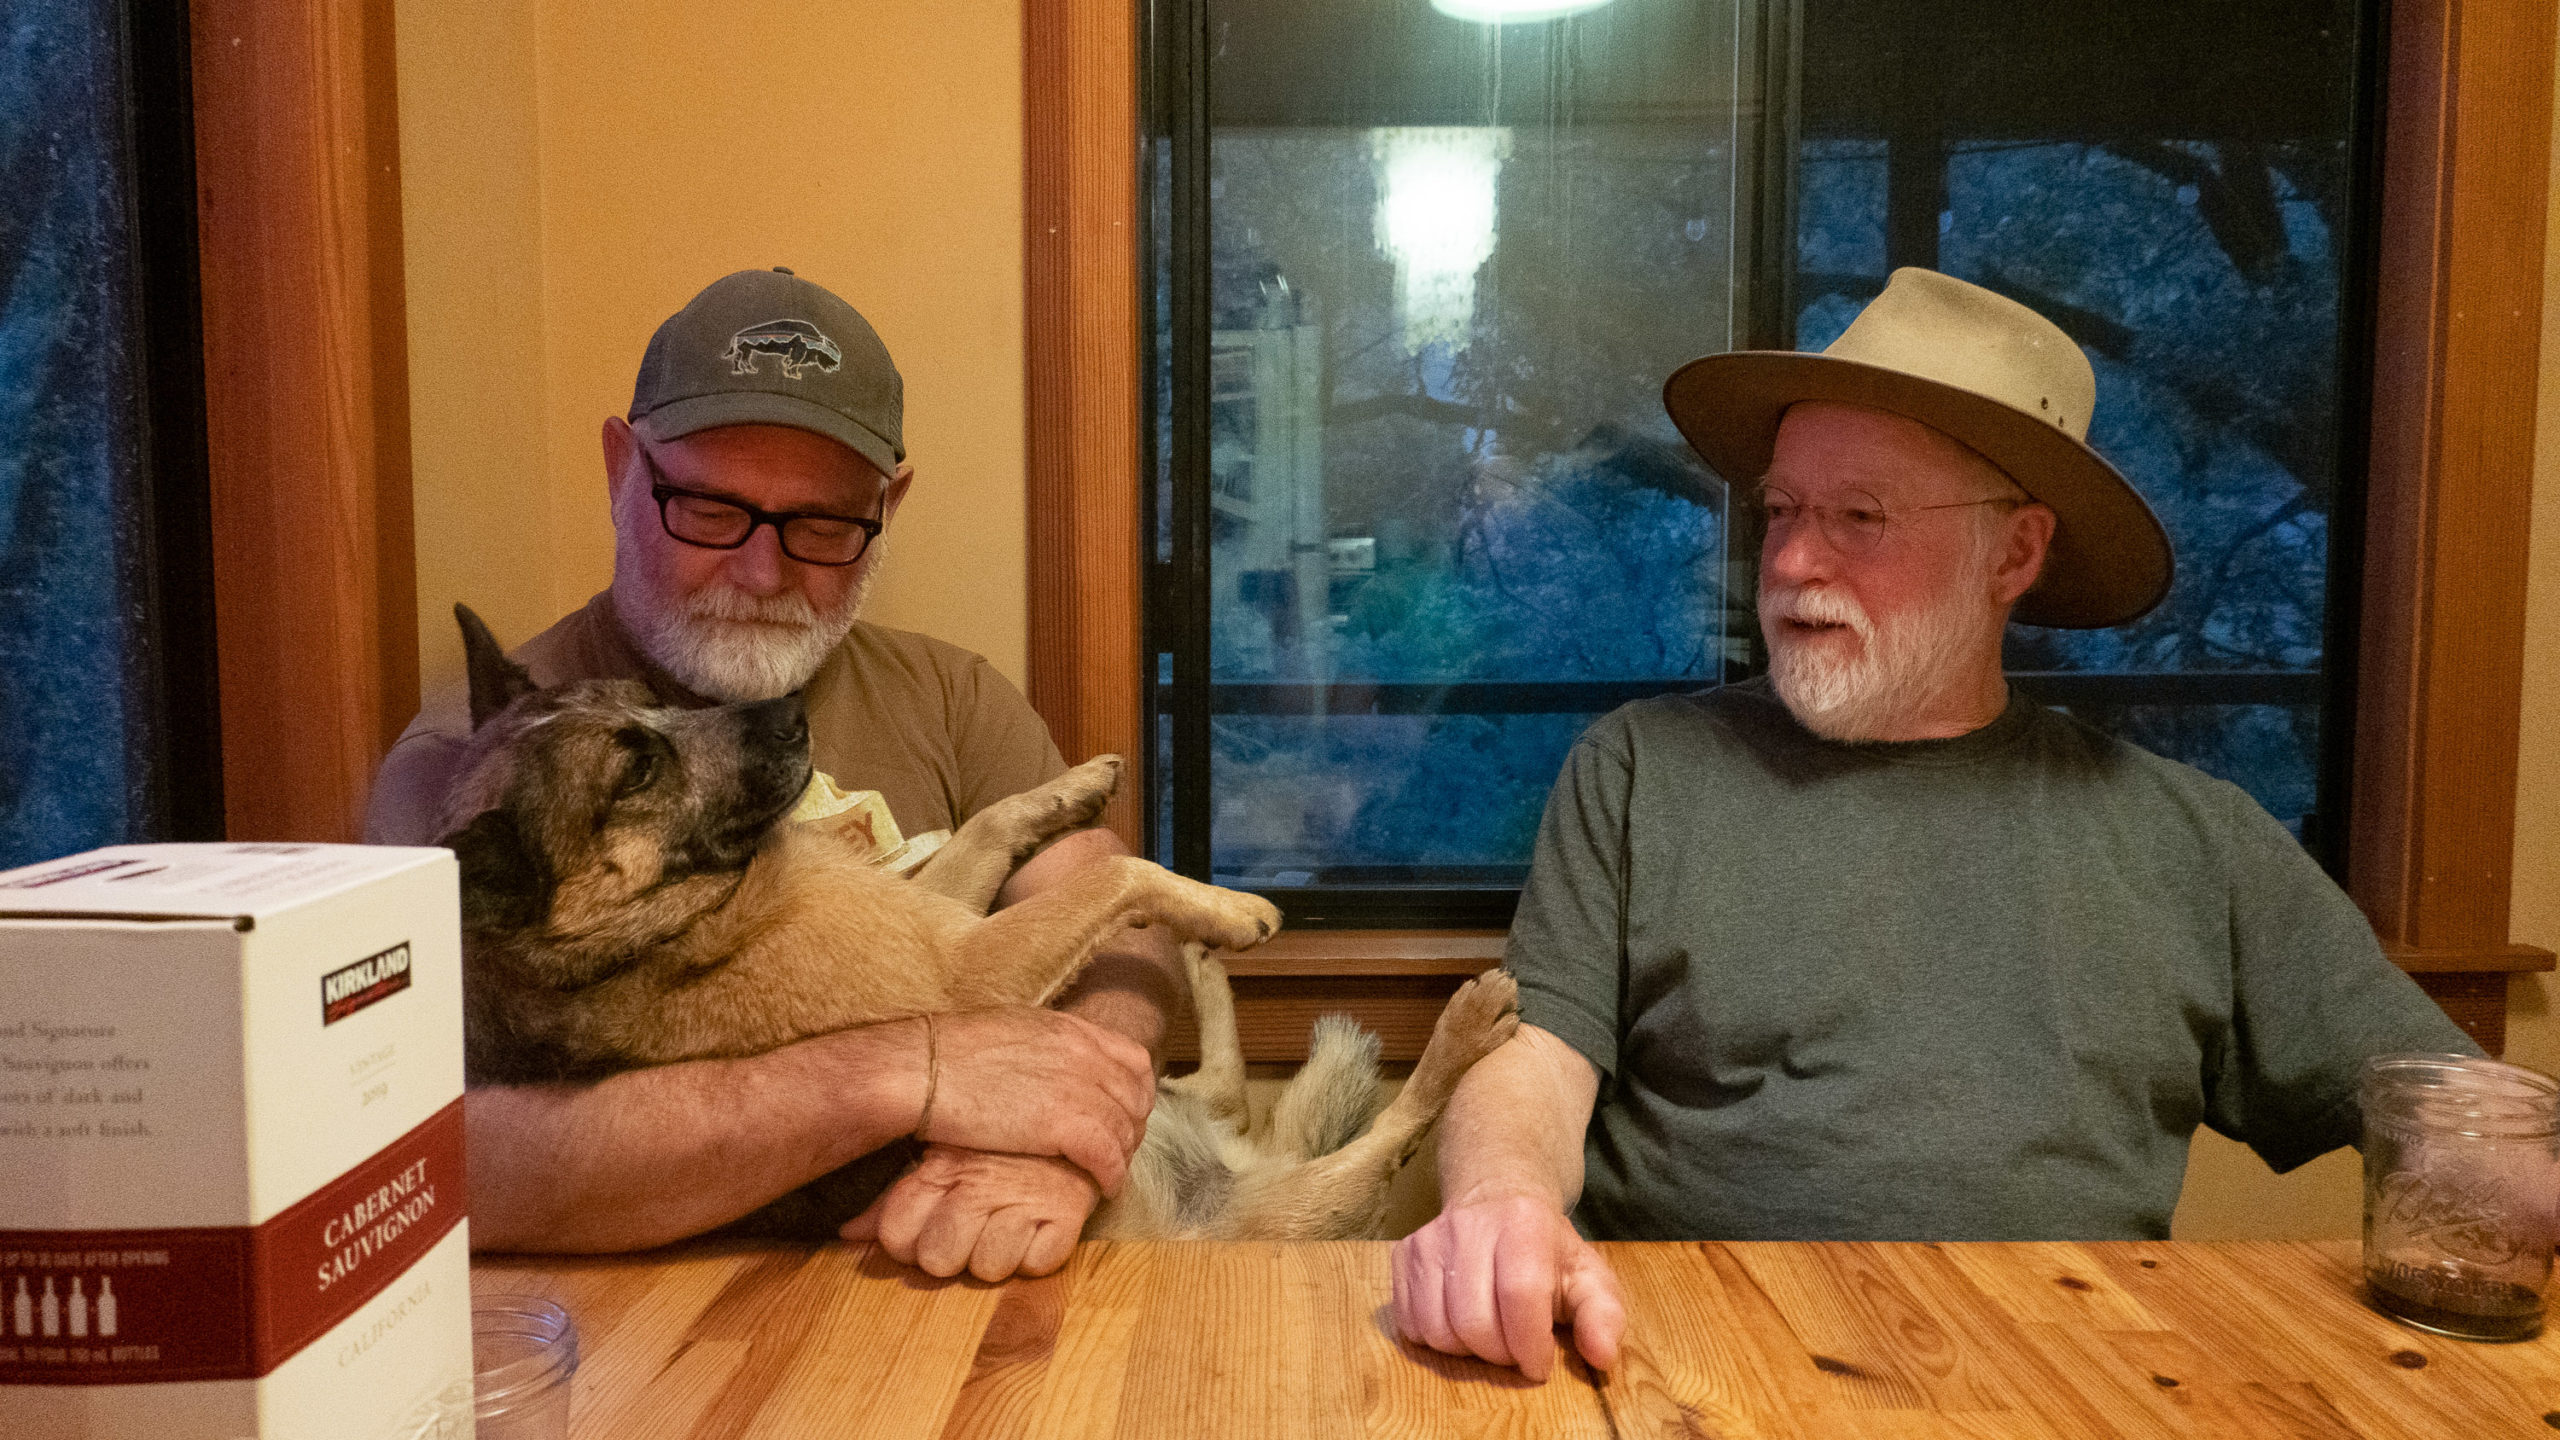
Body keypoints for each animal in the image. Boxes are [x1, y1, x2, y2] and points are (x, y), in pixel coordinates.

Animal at [440, 602, 1515, 1235]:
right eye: (634, 771)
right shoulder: (965, 969)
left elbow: (993, 823)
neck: (663, 921)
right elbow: (1120, 869)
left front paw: (1076, 789)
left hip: (1190, 1104)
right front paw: (1229, 901)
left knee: (1217, 1084)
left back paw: (1205, 962)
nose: (791, 714)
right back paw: (1452, 1025)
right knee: (1387, 1131)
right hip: (1296, 1201)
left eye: (645, 700)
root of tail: (1235, 1171)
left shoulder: (941, 915)